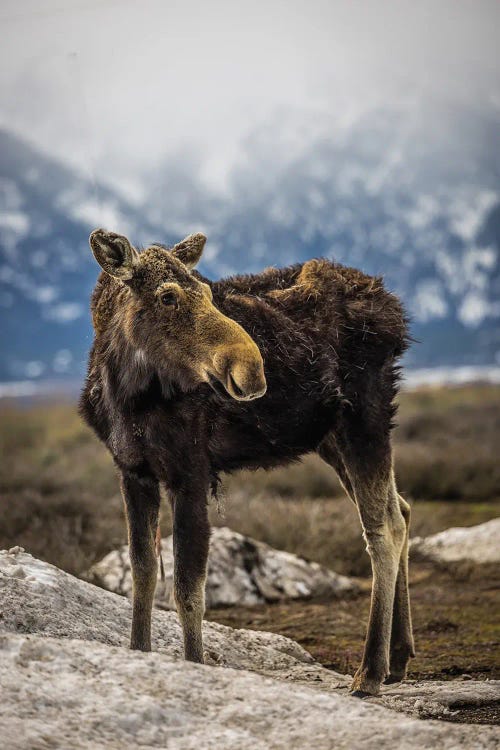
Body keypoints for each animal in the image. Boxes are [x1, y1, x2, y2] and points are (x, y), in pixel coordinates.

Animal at [78, 229, 414, 700]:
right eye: (167, 296)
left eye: (206, 292)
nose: (252, 370)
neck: (126, 393)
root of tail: (393, 310)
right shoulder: (132, 472)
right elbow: (142, 575)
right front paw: (139, 654)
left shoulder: (191, 472)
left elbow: (187, 589)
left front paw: (195, 666)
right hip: (332, 436)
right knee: (400, 509)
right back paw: (398, 658)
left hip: (365, 415)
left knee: (381, 530)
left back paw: (369, 672)